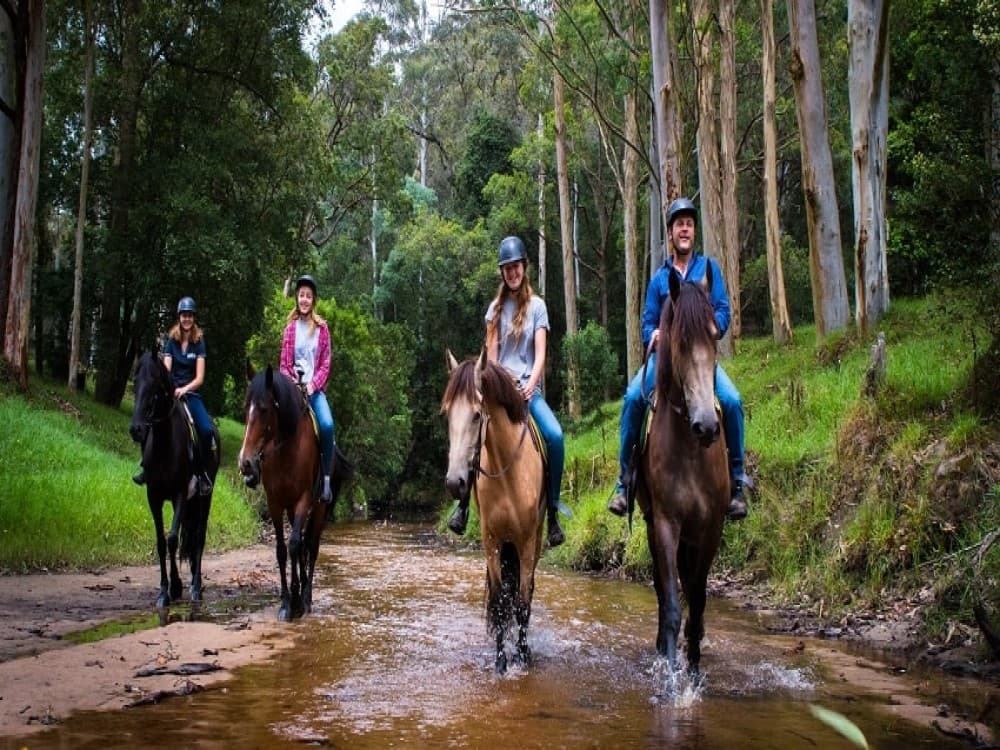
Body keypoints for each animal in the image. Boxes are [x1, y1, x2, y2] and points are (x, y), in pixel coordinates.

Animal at [129, 351, 218, 609]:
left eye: (154, 387)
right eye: (136, 384)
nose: (136, 429)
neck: (165, 445)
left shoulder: (179, 494)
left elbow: (172, 538)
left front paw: (177, 587)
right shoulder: (154, 497)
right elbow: (161, 541)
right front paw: (164, 592)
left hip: (204, 497)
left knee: (198, 537)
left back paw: (196, 587)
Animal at [238, 364, 352, 622]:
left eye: (264, 409)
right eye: (245, 408)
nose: (246, 463)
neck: (286, 447)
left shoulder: (303, 500)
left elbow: (295, 545)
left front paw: (299, 600)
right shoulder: (275, 503)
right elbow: (282, 550)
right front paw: (287, 603)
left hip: (319, 508)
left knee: (310, 546)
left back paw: (306, 598)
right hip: (290, 509)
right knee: (300, 547)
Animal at [442, 350, 546, 674]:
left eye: (477, 414)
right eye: (447, 414)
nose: (455, 482)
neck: (507, 472)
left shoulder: (526, 543)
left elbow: (522, 602)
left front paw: (522, 657)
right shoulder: (492, 542)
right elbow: (500, 601)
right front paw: (501, 661)